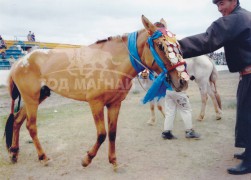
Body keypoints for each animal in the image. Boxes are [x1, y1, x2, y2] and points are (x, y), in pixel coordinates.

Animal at [3, 15, 188, 169]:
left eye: (178, 45)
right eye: (161, 45)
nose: (183, 81)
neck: (110, 64)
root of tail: (20, 60)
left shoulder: (114, 104)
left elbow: (112, 133)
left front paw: (113, 160)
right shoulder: (96, 103)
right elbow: (101, 134)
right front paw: (87, 159)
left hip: (39, 96)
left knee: (17, 121)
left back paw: (14, 153)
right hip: (31, 98)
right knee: (31, 126)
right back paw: (43, 157)